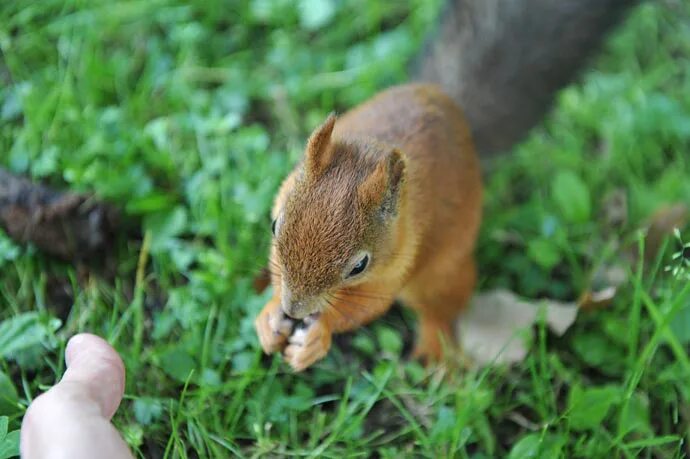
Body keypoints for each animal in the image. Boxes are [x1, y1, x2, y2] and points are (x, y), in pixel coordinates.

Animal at [251, 0, 636, 370]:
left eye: (359, 266)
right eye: (275, 225)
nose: (294, 310)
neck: (373, 151)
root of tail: (452, 106)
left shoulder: (397, 265)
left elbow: (365, 308)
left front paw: (319, 335)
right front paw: (269, 316)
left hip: (443, 275)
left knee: (440, 309)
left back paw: (437, 353)